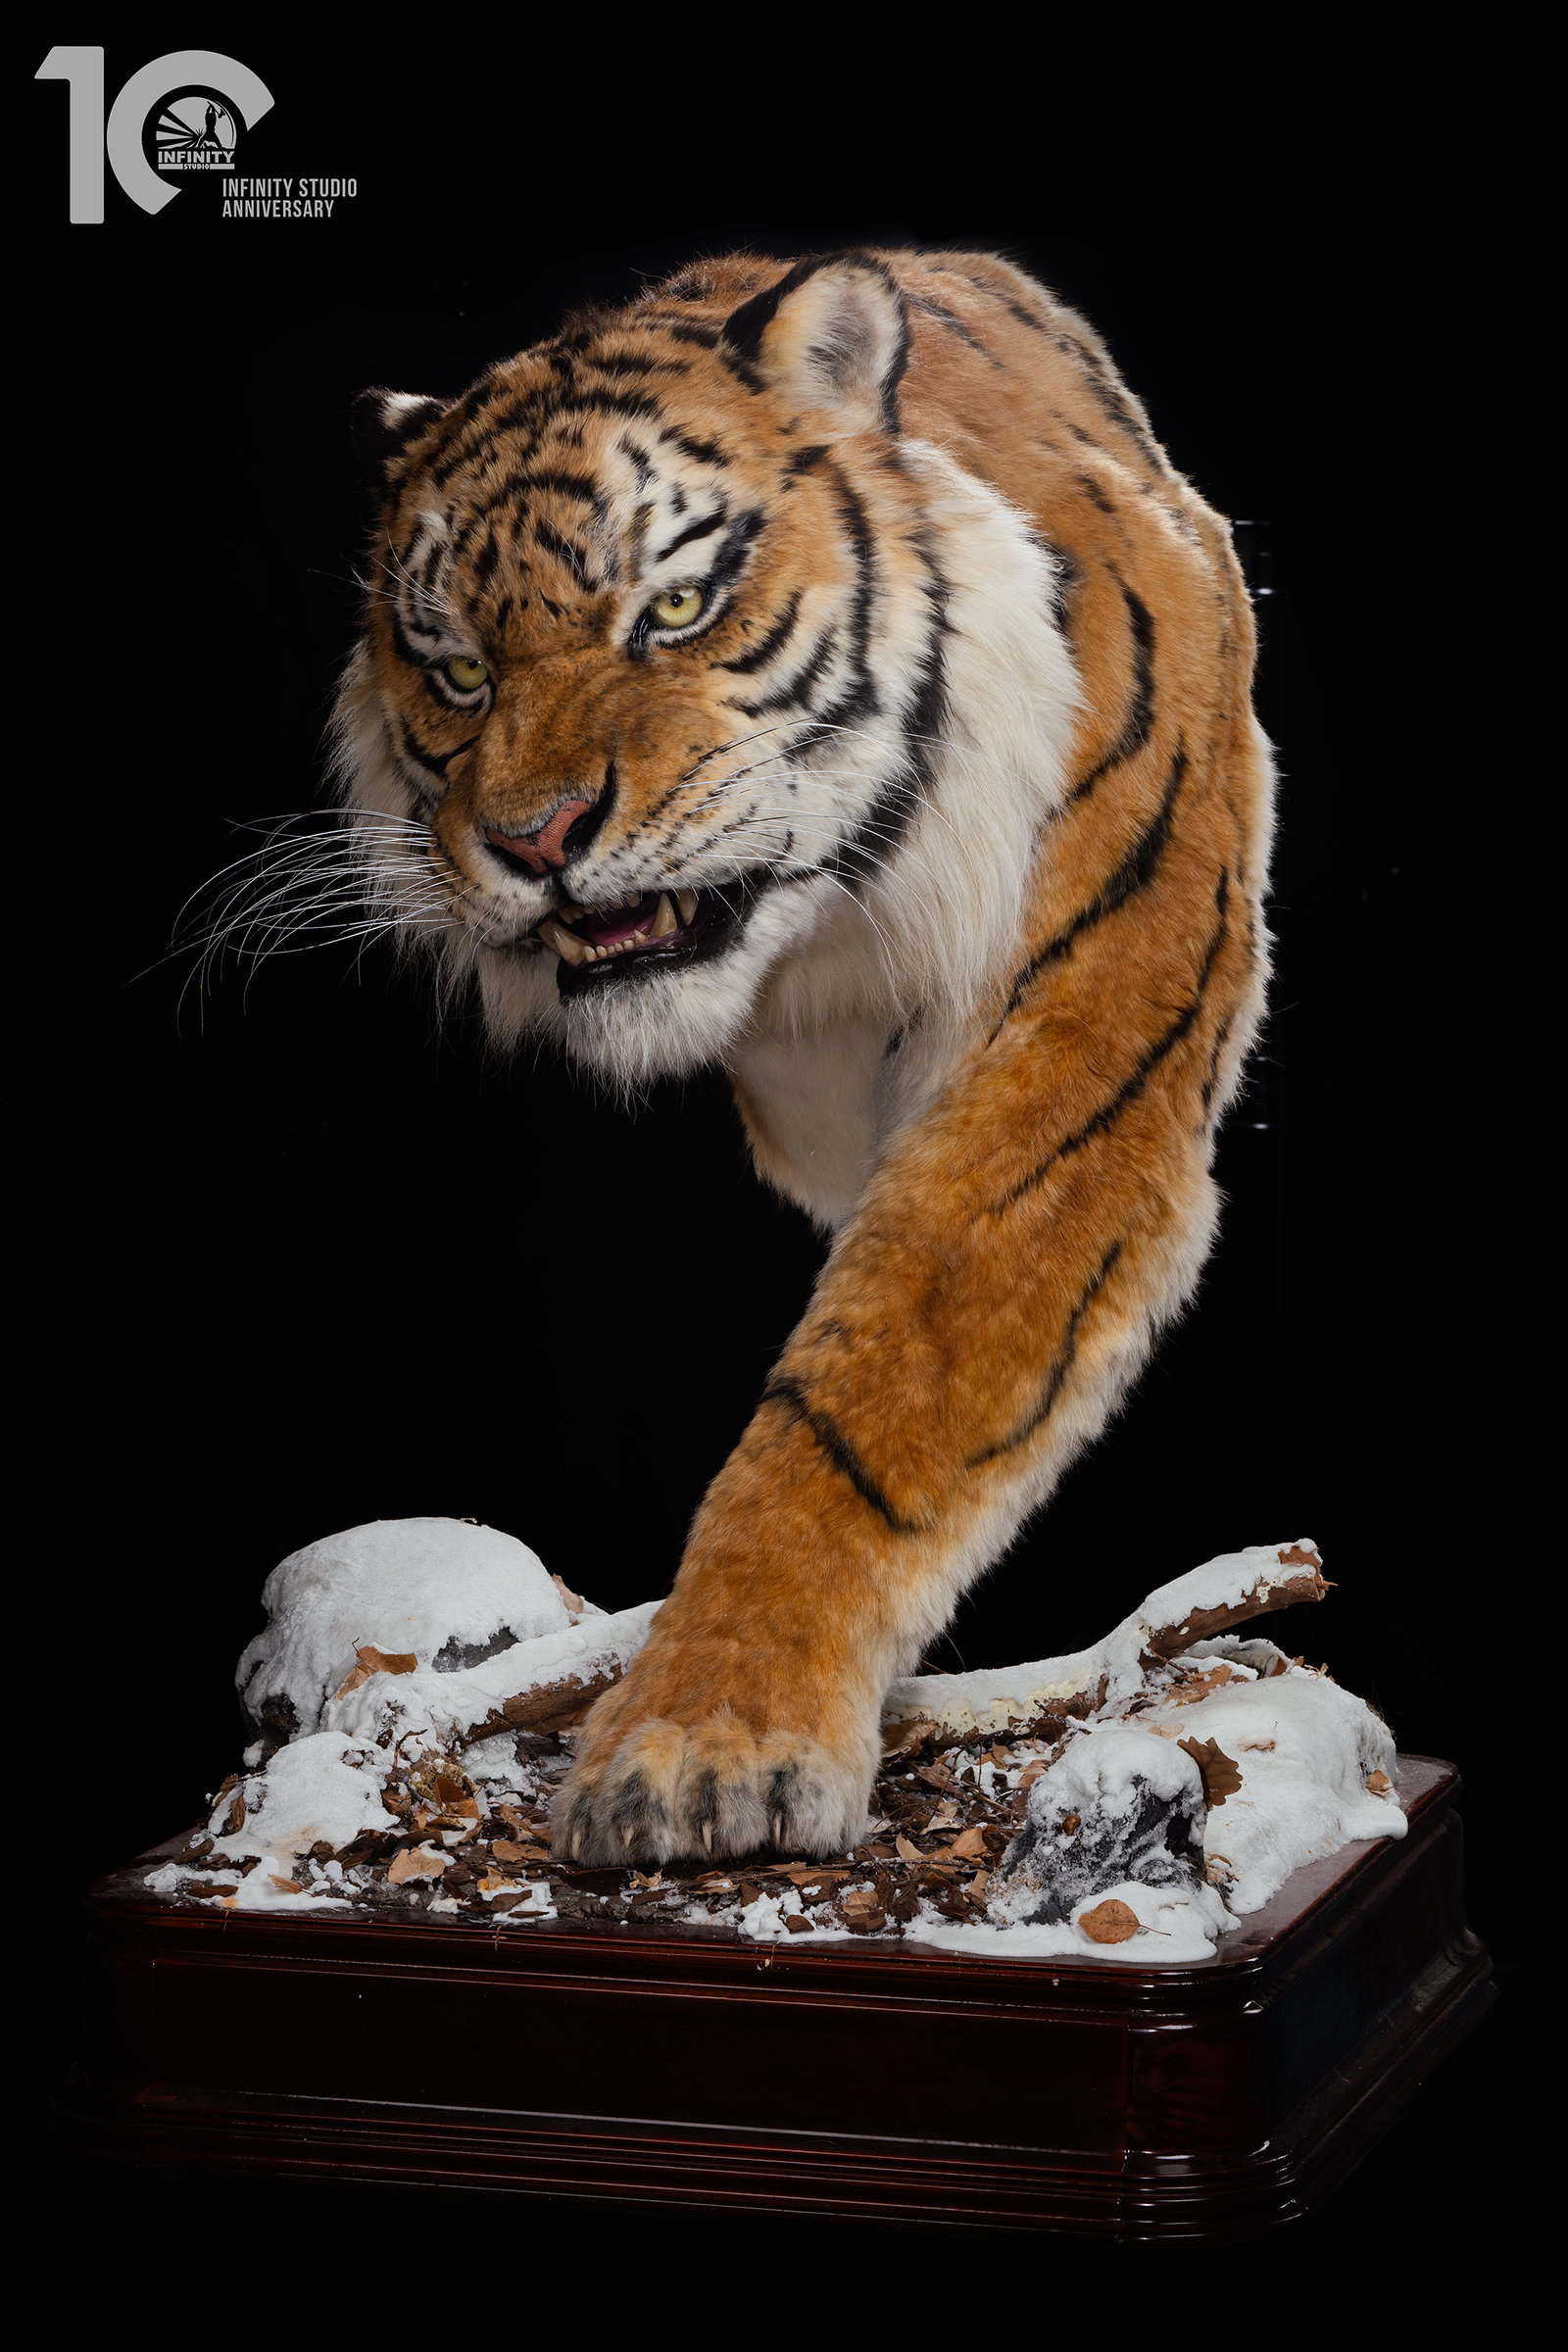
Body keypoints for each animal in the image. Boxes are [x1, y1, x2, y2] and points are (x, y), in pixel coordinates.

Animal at [333, 248, 1271, 1866]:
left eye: (676, 605)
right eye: (454, 670)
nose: (534, 840)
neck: (819, 935)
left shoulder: (1070, 1074)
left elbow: (857, 1410)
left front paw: (707, 1744)